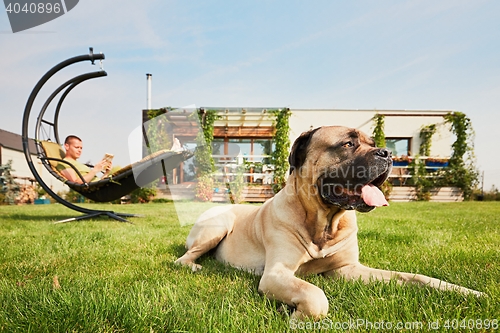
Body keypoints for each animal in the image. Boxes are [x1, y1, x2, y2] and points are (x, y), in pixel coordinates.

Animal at [177, 126, 484, 318]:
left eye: (374, 144)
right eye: (348, 144)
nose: (387, 153)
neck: (324, 222)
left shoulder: (346, 269)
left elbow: (413, 277)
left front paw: (467, 291)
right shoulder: (276, 273)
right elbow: (315, 296)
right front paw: (294, 317)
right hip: (218, 225)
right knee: (182, 259)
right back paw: (195, 266)